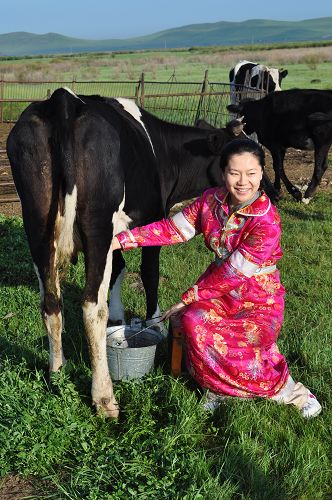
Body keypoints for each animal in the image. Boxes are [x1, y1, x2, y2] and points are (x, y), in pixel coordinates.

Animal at [5, 88, 249, 416]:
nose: (270, 190)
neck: (165, 152)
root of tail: (62, 99)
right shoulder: (152, 216)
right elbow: (149, 272)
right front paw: (154, 323)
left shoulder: (116, 234)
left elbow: (119, 268)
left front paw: (120, 317)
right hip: (96, 224)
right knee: (91, 307)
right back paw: (104, 399)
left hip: (37, 223)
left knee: (51, 302)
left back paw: (58, 371)